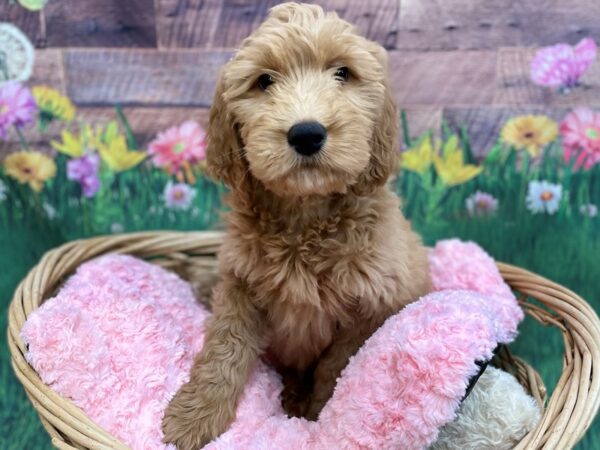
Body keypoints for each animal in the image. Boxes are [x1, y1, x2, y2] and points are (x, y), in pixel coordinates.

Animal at [159, 2, 432, 446]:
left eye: (343, 73)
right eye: (263, 81)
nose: (306, 133)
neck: (305, 216)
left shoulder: (370, 309)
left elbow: (336, 369)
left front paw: (318, 418)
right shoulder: (240, 282)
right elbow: (224, 347)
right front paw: (195, 416)